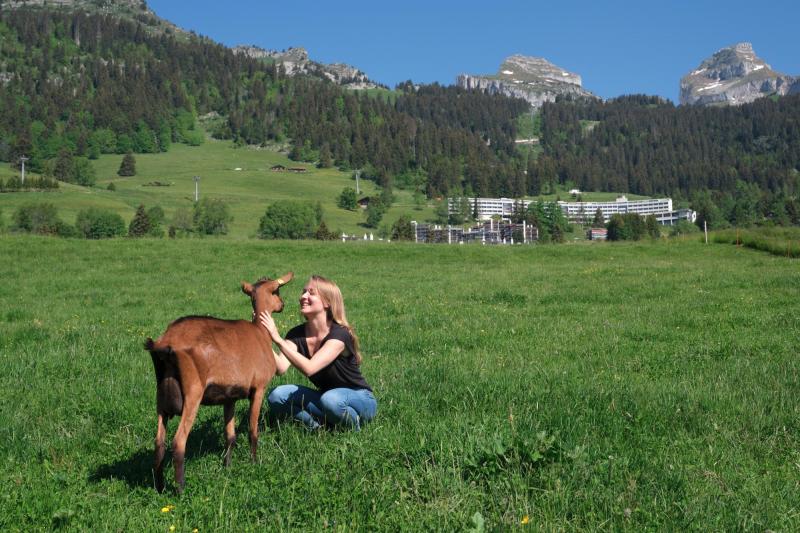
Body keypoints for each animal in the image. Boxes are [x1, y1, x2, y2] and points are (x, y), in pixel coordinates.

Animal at [145, 272, 292, 492]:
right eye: (277, 291)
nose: (282, 305)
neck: (260, 332)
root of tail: (165, 343)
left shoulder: (229, 397)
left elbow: (230, 436)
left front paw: (227, 466)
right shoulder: (259, 389)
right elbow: (252, 431)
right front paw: (254, 462)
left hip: (161, 399)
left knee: (159, 444)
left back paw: (160, 487)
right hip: (193, 394)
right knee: (178, 442)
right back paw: (180, 489)